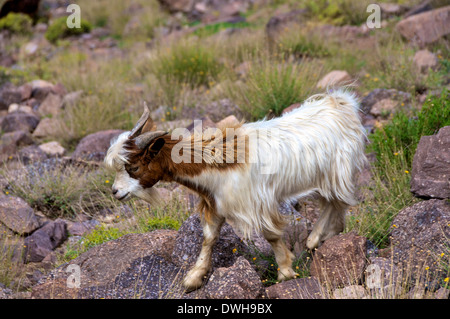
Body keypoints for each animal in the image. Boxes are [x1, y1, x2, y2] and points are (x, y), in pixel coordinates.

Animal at [106, 89, 370, 292]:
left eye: (134, 167)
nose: (116, 192)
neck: (218, 162)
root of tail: (340, 103)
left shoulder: (256, 203)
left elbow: (271, 235)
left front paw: (285, 271)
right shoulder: (215, 203)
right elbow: (209, 237)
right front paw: (194, 277)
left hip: (337, 173)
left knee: (338, 202)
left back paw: (315, 238)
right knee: (333, 204)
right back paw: (324, 235)